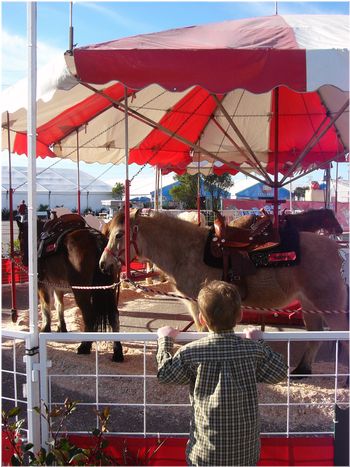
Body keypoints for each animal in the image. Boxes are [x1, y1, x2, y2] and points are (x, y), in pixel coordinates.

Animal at [18, 218, 124, 364]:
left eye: (20, 237)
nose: (23, 259)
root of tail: (95, 238)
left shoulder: (42, 284)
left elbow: (46, 306)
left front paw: (46, 328)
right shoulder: (58, 287)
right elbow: (59, 305)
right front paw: (62, 327)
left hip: (81, 292)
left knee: (89, 316)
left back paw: (85, 346)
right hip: (110, 290)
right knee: (114, 317)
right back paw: (117, 351)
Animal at [100, 212, 348, 376]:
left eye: (119, 235)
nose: (104, 264)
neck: (186, 251)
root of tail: (336, 250)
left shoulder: (197, 303)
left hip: (328, 304)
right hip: (309, 304)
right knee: (315, 335)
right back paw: (302, 370)